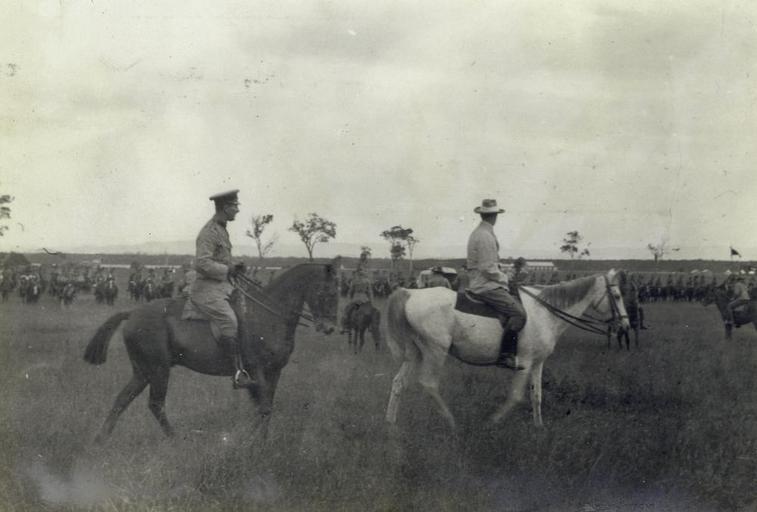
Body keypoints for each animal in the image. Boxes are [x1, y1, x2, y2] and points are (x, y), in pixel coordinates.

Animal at [83, 259, 340, 443]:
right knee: (155, 404)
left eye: (338, 293)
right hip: (158, 370)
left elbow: (265, 407)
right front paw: (253, 442)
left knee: (122, 399)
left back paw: (101, 439)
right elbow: (264, 406)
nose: (329, 328)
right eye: (324, 293)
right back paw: (176, 439)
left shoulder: (274, 372)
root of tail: (133, 313)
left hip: (143, 371)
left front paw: (261, 441)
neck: (268, 315)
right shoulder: (256, 370)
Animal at [384, 270, 630, 430]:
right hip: (435, 351)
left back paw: (391, 424)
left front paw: (539, 427)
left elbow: (537, 395)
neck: (544, 313)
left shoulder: (538, 363)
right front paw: (492, 423)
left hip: (414, 353)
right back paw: (451, 422)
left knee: (398, 383)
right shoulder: (525, 364)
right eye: (617, 296)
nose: (625, 325)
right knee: (429, 384)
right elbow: (516, 397)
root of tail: (411, 294)